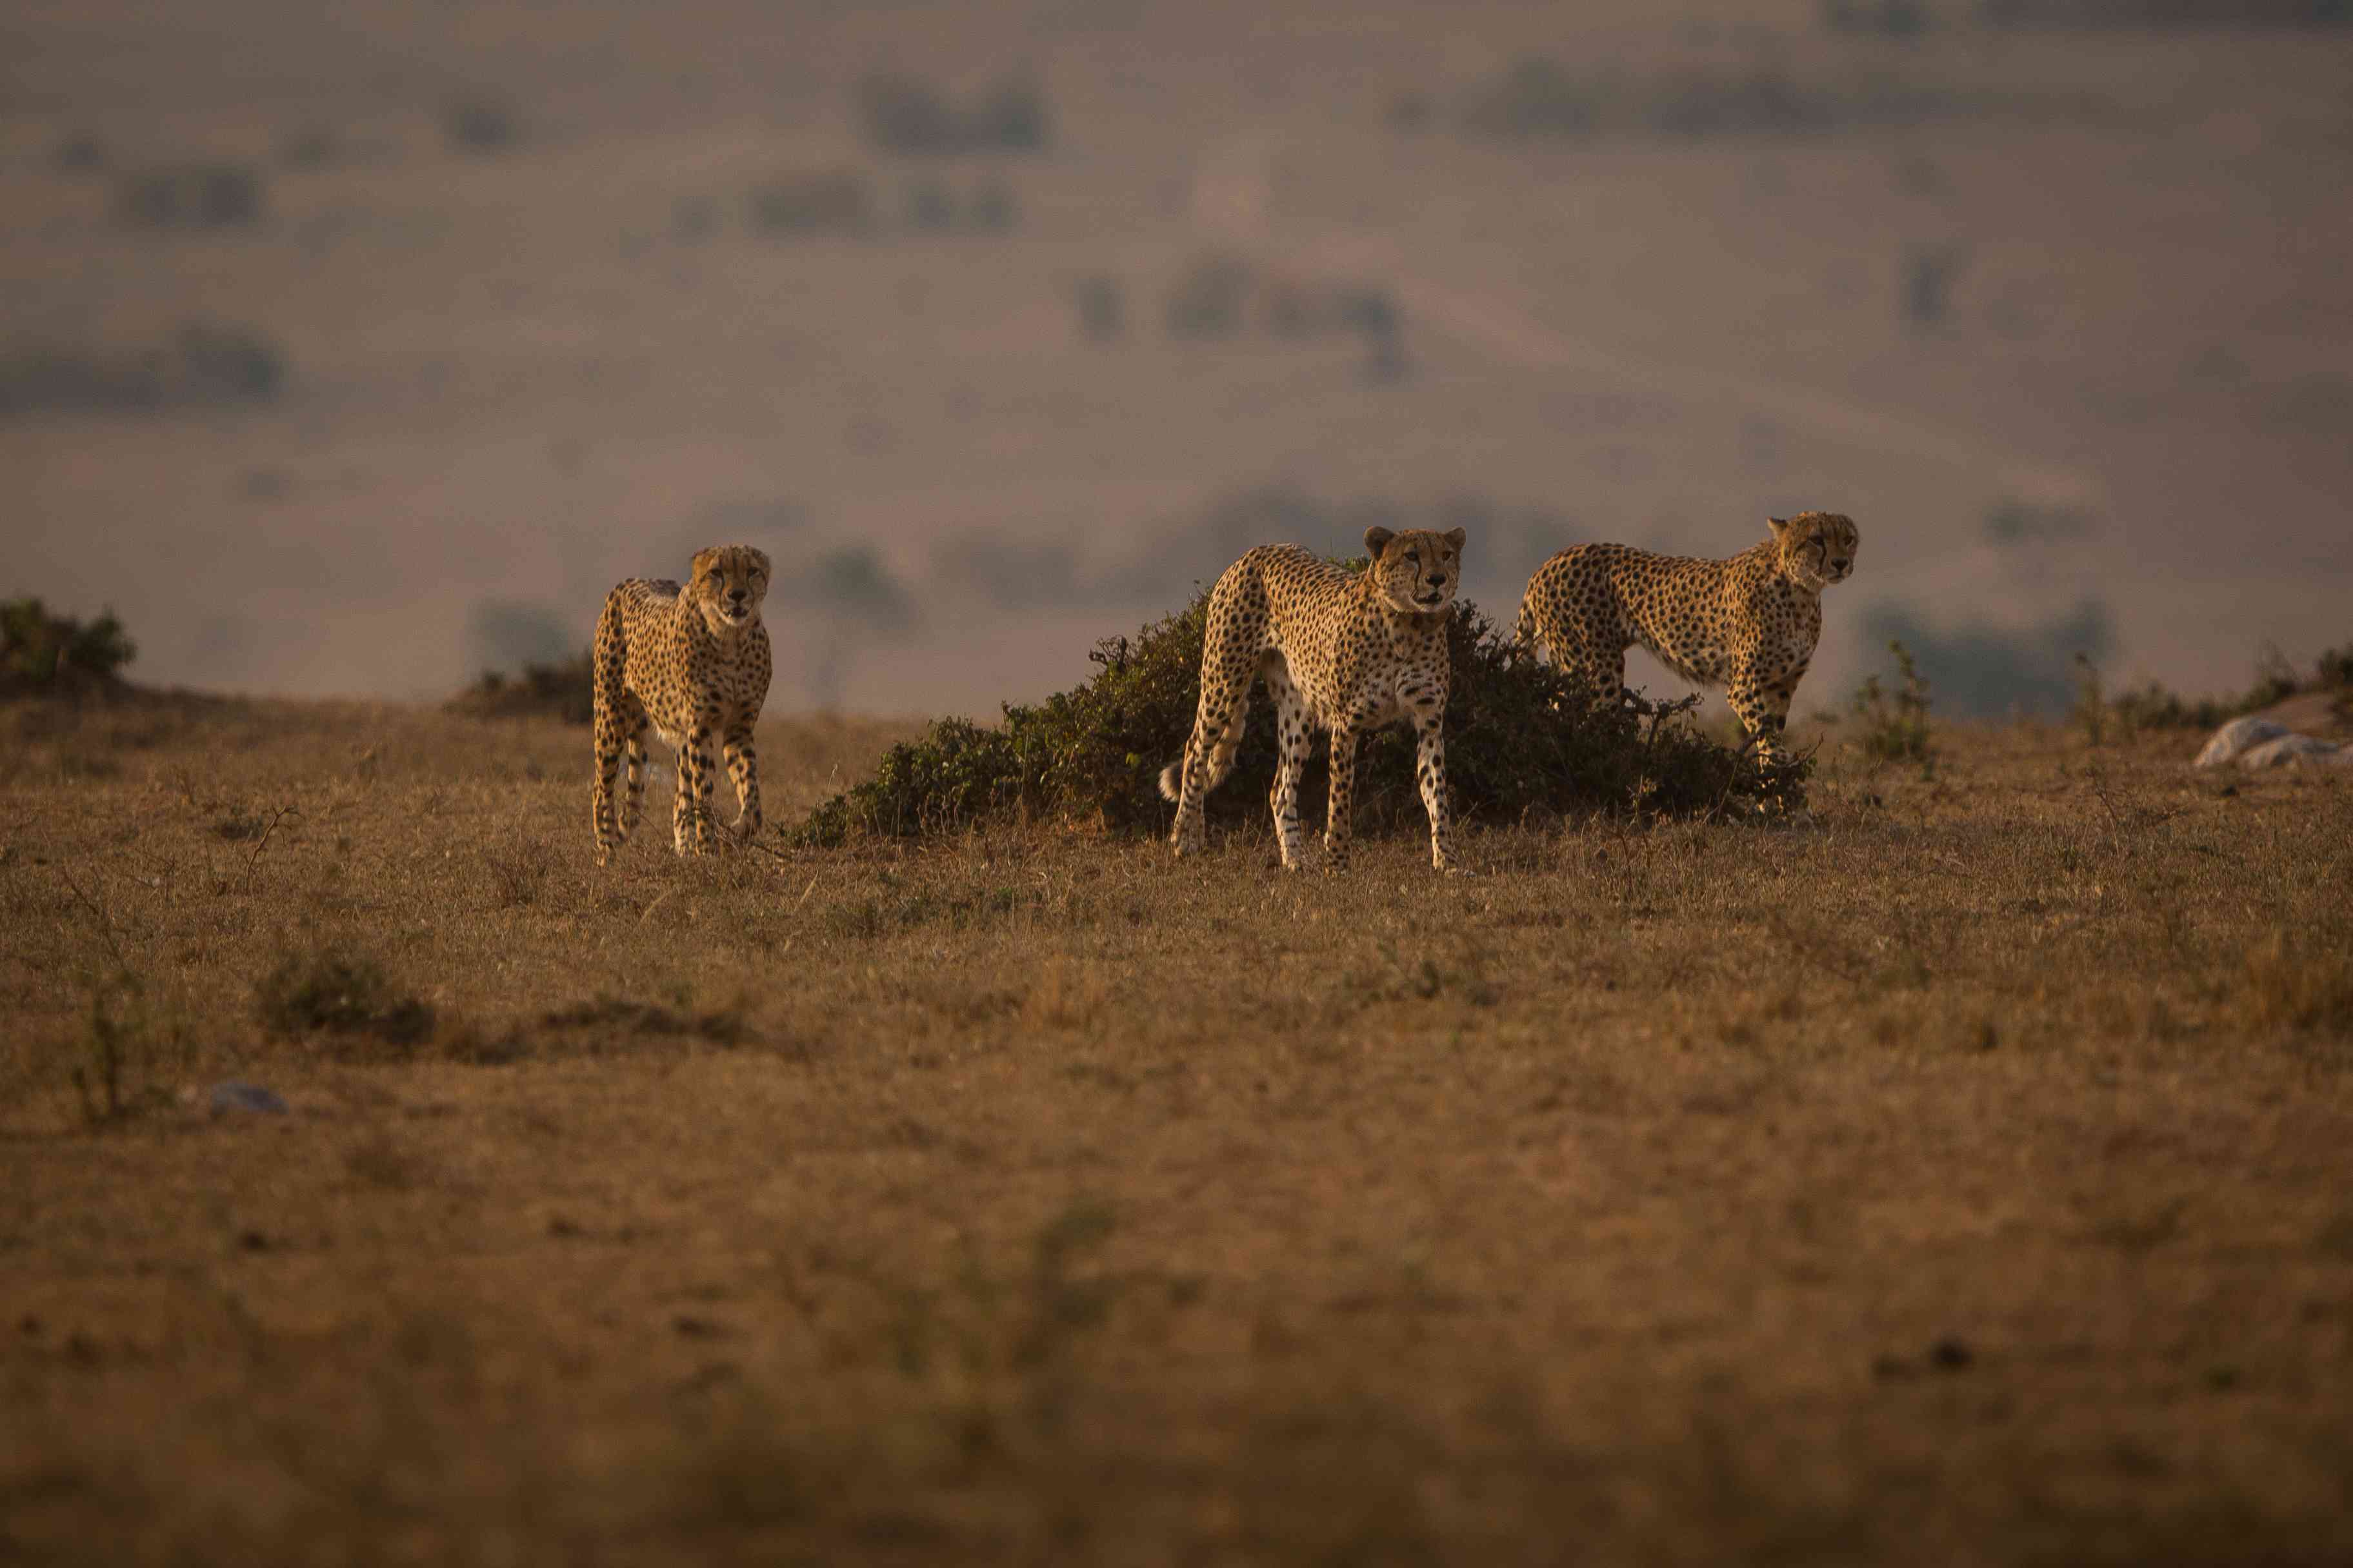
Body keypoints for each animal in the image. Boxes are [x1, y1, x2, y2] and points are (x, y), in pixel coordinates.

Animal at [588, 545, 772, 865]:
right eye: (716, 572)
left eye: (752, 571)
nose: (737, 595)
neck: (731, 639)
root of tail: (630, 582)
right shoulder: (701, 727)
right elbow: (705, 792)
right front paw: (707, 849)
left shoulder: (739, 727)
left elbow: (751, 789)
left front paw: (740, 830)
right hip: (610, 719)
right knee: (602, 789)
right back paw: (607, 851)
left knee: (678, 797)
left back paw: (683, 847)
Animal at [1153, 524, 1459, 869]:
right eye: (1411, 556)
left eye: (1447, 554)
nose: (1438, 579)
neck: (1408, 624)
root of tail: (1258, 550)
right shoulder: (1347, 725)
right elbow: (1339, 799)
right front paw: (1338, 863)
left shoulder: (1429, 722)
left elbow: (1437, 794)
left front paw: (1448, 860)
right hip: (1223, 682)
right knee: (1195, 751)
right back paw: (1187, 837)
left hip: (1297, 712)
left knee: (1280, 790)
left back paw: (1296, 860)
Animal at [1515, 515, 1863, 761]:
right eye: (1816, 539)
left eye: (1848, 539)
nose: (1841, 563)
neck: (1802, 590)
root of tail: (1547, 564)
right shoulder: (1745, 686)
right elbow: (1771, 745)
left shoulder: (1781, 686)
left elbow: (1769, 741)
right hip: (1596, 671)